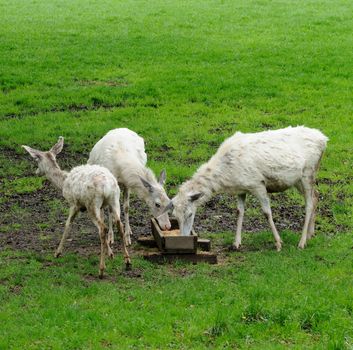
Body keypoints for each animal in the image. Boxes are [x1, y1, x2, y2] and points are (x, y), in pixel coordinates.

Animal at [23, 138, 131, 278]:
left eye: (36, 160)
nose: (36, 172)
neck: (63, 183)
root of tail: (107, 187)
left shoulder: (74, 203)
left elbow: (67, 224)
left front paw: (57, 252)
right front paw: (111, 254)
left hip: (92, 203)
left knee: (102, 228)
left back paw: (101, 269)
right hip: (114, 199)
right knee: (119, 224)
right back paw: (127, 261)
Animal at [162, 127, 328, 250]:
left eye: (190, 214)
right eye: (175, 215)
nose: (183, 237)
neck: (227, 177)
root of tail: (324, 139)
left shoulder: (257, 184)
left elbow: (267, 213)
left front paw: (278, 243)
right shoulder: (241, 189)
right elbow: (239, 211)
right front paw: (236, 243)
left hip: (308, 172)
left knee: (309, 203)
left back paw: (302, 242)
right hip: (299, 180)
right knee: (316, 196)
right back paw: (311, 234)